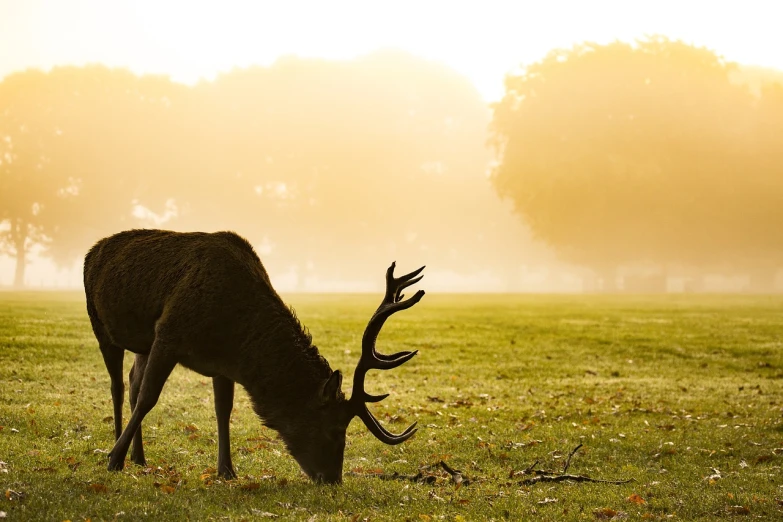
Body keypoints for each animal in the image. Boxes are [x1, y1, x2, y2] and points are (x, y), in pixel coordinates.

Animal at [83, 230, 426, 482]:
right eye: (334, 429)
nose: (332, 479)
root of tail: (92, 249)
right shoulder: (168, 332)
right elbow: (149, 398)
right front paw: (114, 459)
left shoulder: (221, 364)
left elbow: (223, 410)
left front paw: (227, 471)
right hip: (100, 325)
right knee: (119, 386)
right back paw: (118, 448)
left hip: (141, 344)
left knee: (132, 380)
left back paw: (139, 457)